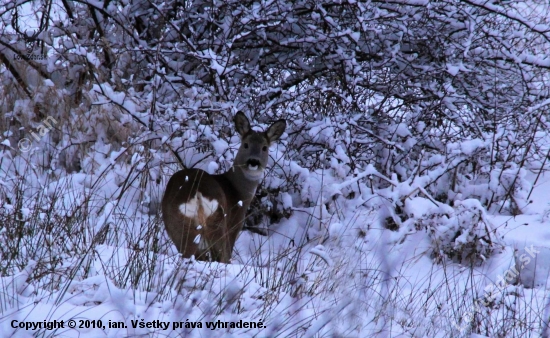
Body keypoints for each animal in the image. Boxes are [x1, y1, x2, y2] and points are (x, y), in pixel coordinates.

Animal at [162, 112, 286, 262]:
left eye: (264, 148)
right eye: (246, 144)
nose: (253, 161)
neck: (237, 189)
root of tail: (196, 191)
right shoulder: (235, 223)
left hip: (178, 224)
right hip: (219, 220)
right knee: (223, 256)